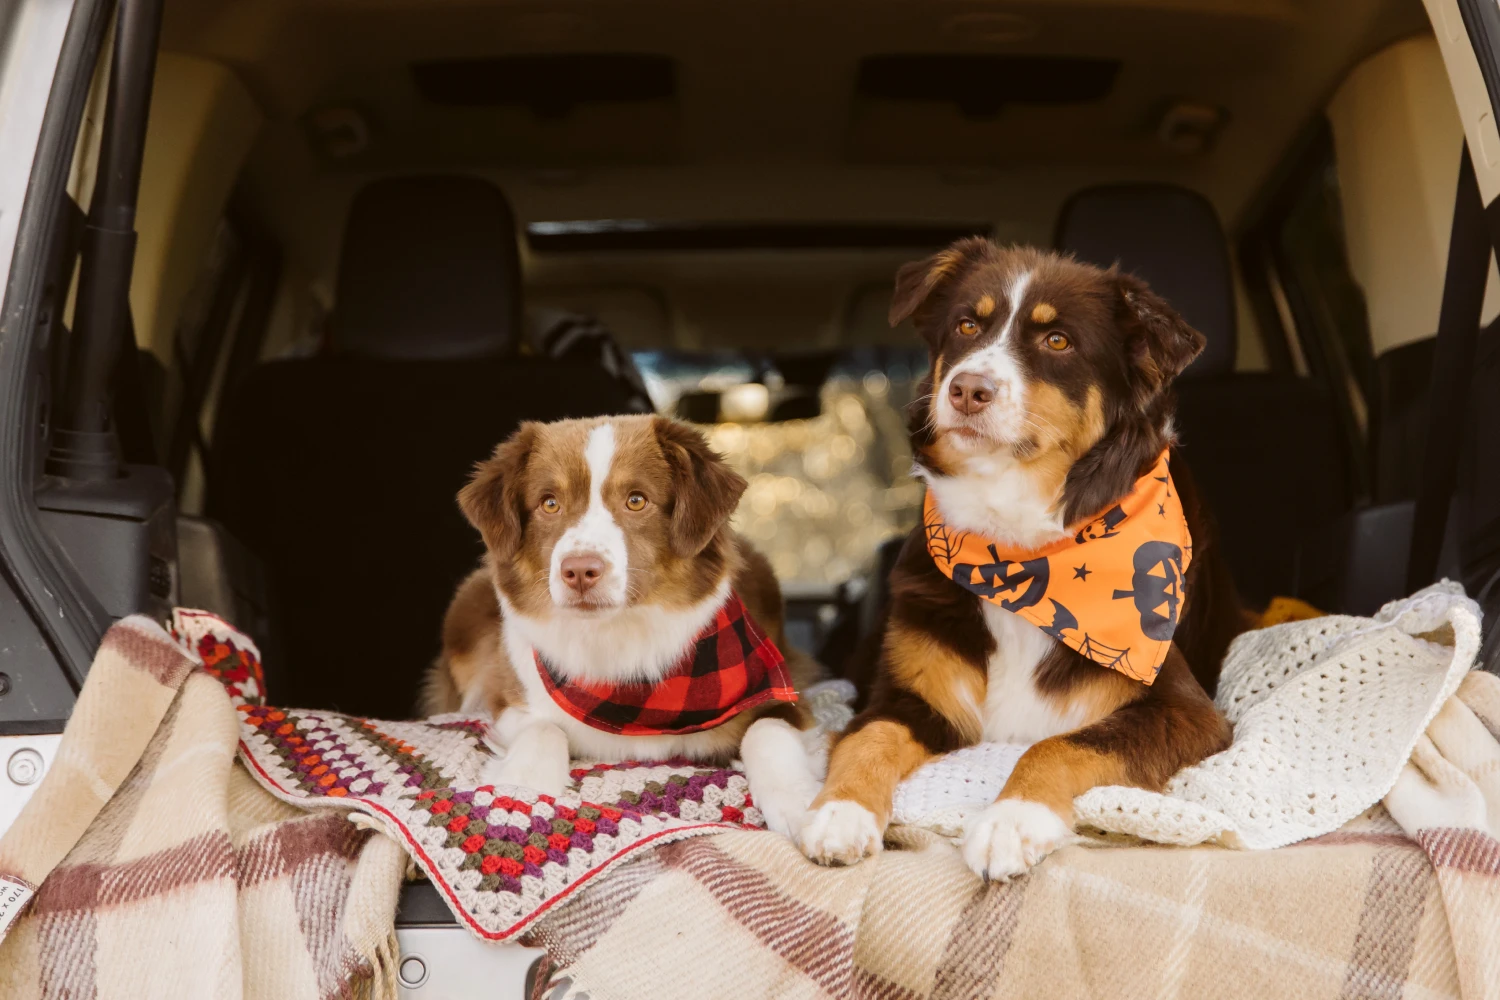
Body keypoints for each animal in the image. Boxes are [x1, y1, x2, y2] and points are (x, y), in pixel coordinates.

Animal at [423, 413, 828, 839]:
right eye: (549, 503)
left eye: (636, 500)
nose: (579, 571)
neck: (617, 638)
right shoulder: (508, 700)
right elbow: (543, 728)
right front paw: (521, 791)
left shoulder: (779, 693)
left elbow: (767, 729)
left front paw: (800, 806)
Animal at [798, 244, 1242, 881]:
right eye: (966, 325)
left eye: (1057, 340)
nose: (967, 389)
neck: (1016, 547)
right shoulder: (912, 696)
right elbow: (869, 737)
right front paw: (840, 811)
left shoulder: (1186, 709)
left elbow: (1059, 744)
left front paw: (1011, 820)